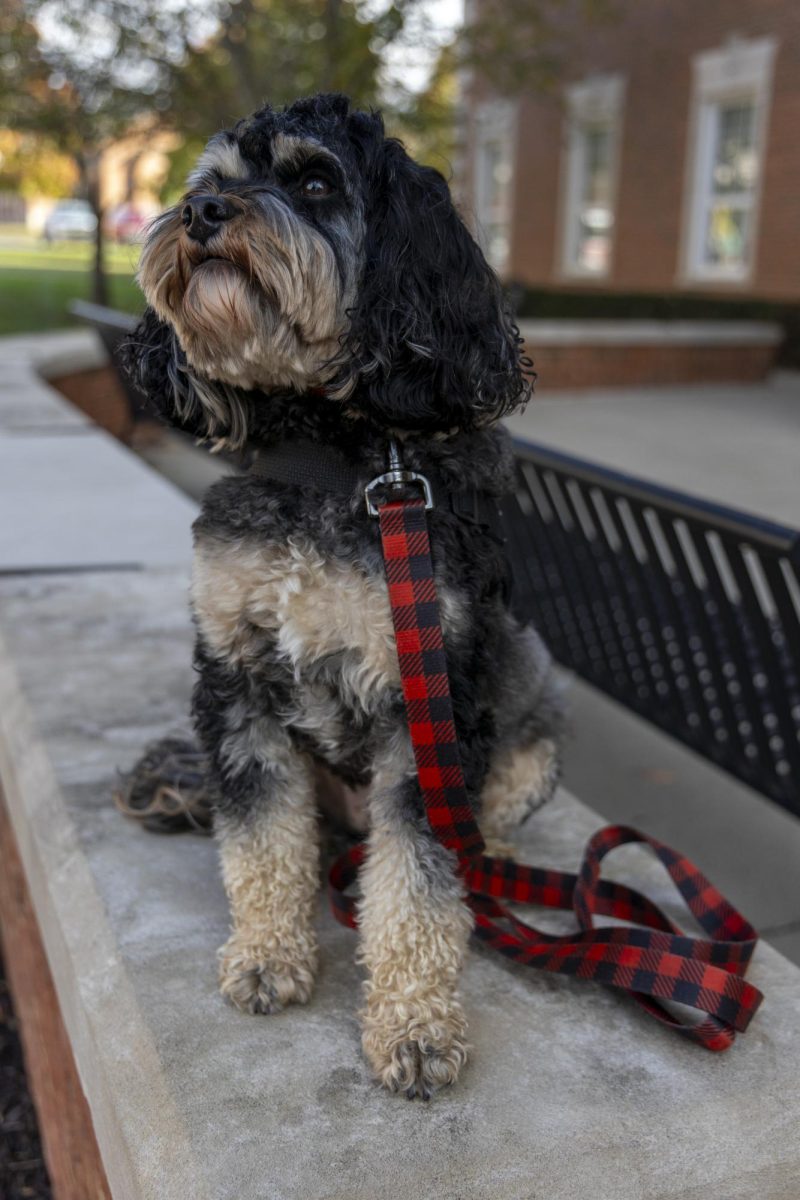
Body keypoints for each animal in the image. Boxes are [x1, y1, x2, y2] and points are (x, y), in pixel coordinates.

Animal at [125, 91, 563, 1099]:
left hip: (532, 692)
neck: (330, 456)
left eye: (316, 182)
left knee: (475, 829)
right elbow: (261, 842)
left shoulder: (431, 708)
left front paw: (414, 1024)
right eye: (210, 183)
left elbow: (418, 885)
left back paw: (500, 864)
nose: (201, 215)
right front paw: (266, 955)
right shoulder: (237, 681)